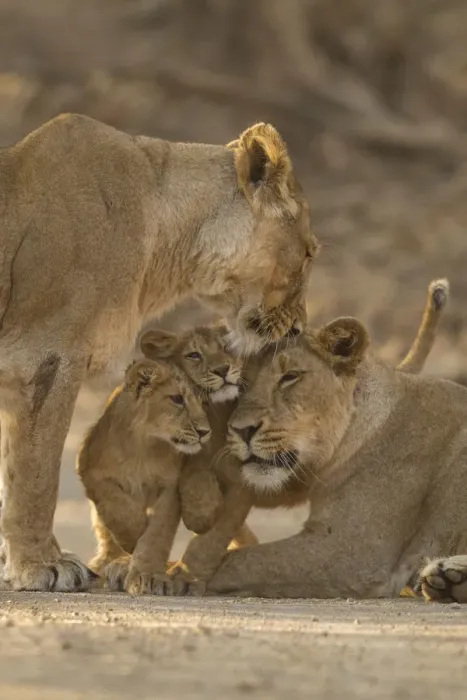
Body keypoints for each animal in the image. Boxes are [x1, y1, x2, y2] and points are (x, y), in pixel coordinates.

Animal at [76, 358, 211, 595]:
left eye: (202, 402)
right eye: (177, 399)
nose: (205, 432)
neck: (145, 446)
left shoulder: (170, 487)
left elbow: (157, 533)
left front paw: (149, 576)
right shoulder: (90, 469)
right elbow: (117, 507)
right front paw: (133, 536)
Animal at [165, 286, 467, 600]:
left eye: (290, 377)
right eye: (240, 383)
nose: (242, 430)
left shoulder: (352, 552)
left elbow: (242, 560)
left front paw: (177, 574)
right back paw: (448, 578)